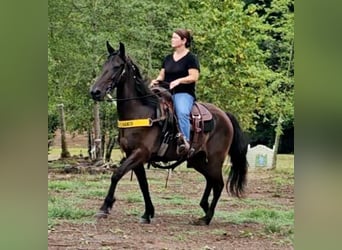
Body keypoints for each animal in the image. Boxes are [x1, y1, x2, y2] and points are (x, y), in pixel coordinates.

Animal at [89, 42, 247, 226]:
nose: (95, 92)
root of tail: (225, 115)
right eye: (104, 66)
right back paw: (204, 208)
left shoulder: (140, 153)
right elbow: (143, 184)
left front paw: (105, 207)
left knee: (218, 184)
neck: (141, 111)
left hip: (215, 159)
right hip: (198, 159)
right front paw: (148, 213)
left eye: (117, 66)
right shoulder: (133, 155)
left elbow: (116, 174)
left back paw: (207, 217)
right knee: (211, 181)